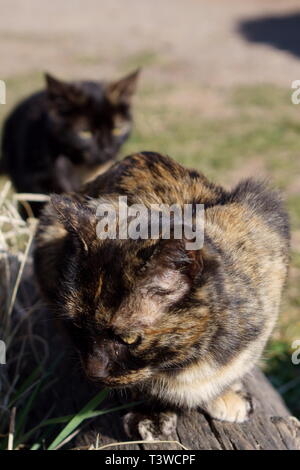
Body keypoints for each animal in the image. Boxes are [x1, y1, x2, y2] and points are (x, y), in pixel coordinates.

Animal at [34, 152, 290, 436]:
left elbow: (239, 364)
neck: (190, 360)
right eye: (77, 326)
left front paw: (226, 393)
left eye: (129, 338)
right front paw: (151, 413)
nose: (93, 373)